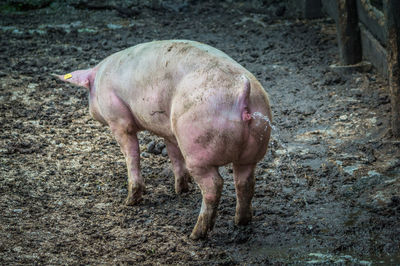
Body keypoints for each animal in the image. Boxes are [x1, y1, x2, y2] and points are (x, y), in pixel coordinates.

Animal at [54, 39, 274, 239]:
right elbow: (174, 155)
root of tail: (242, 92)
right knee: (245, 181)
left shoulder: (118, 119)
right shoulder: (168, 131)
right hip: (253, 146)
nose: (90, 111)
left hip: (198, 146)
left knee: (214, 185)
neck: (100, 77)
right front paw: (181, 189)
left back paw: (195, 235)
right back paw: (241, 221)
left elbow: (132, 154)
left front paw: (130, 201)